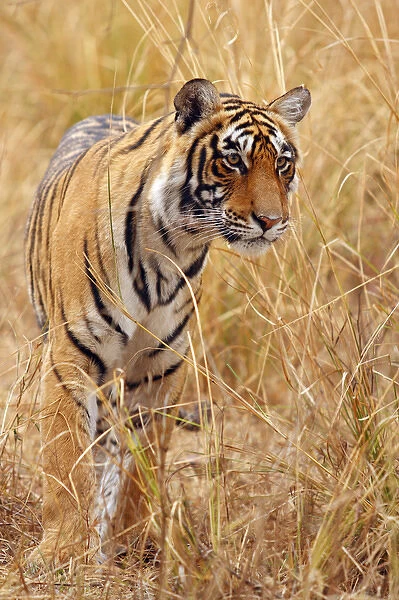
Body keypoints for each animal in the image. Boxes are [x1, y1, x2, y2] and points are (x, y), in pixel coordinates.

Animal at [25, 77, 312, 564]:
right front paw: (64, 551)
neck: (171, 244)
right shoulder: (71, 357)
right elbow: (66, 459)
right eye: (233, 160)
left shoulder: (159, 367)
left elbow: (141, 465)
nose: (272, 221)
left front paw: (132, 540)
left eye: (283, 164)